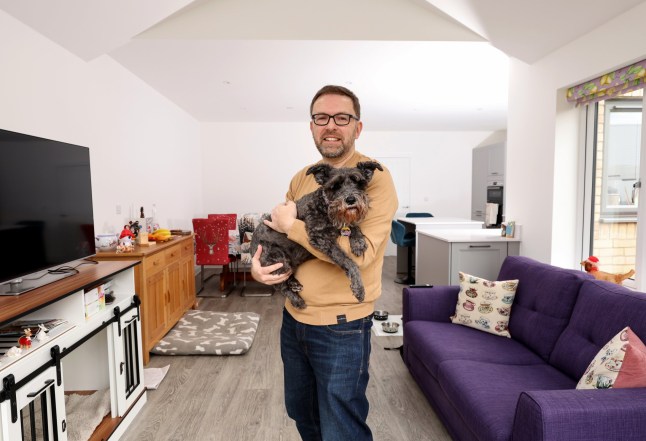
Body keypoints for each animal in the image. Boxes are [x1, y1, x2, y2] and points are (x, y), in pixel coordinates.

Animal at [249, 160, 382, 308]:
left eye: (359, 183)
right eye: (335, 186)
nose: (351, 199)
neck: (325, 206)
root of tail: (251, 247)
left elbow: (354, 226)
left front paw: (358, 242)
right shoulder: (320, 237)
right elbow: (347, 260)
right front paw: (358, 287)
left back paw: (294, 283)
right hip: (278, 260)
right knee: (279, 285)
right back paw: (297, 300)